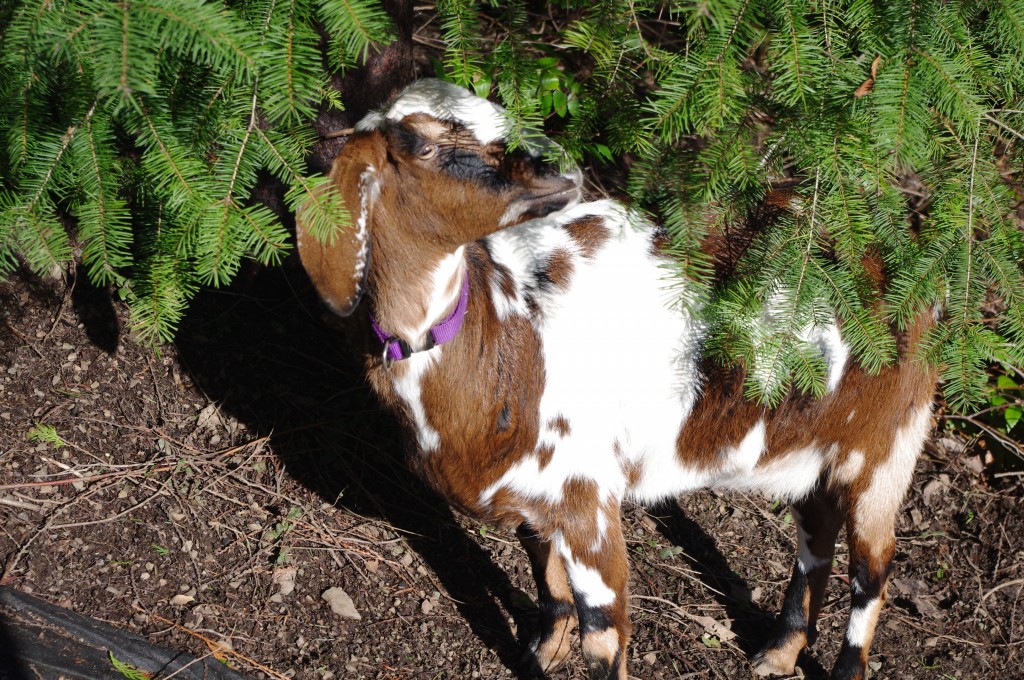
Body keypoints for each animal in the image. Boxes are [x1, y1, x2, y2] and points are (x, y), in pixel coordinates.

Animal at [296, 80, 937, 680]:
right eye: (424, 144)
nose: (555, 161)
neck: (504, 337)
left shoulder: (588, 495)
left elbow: (604, 639)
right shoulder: (537, 491)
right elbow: (542, 569)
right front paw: (542, 649)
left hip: (885, 442)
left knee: (872, 566)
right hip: (815, 441)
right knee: (816, 537)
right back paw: (777, 654)